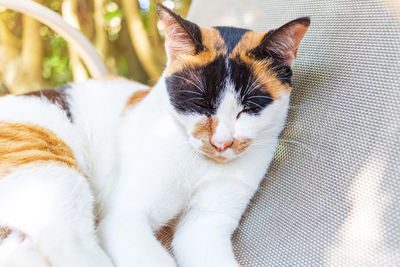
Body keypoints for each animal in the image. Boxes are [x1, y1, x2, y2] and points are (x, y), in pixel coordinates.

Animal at [0, 4, 310, 267]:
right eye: (200, 104)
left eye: (249, 108)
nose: (221, 143)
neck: (198, 163)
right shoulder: (124, 220)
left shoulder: (204, 226)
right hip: (53, 179)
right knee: (70, 246)